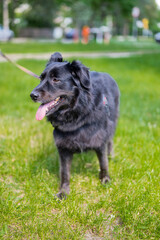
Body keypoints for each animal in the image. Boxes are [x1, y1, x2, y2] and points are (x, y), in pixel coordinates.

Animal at [30, 52, 120, 199]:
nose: (32, 95)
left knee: (110, 140)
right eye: (41, 78)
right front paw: (63, 192)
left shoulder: (100, 140)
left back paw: (111, 155)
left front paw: (105, 180)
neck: (76, 114)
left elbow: (103, 163)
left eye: (56, 79)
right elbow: (65, 172)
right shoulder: (63, 148)